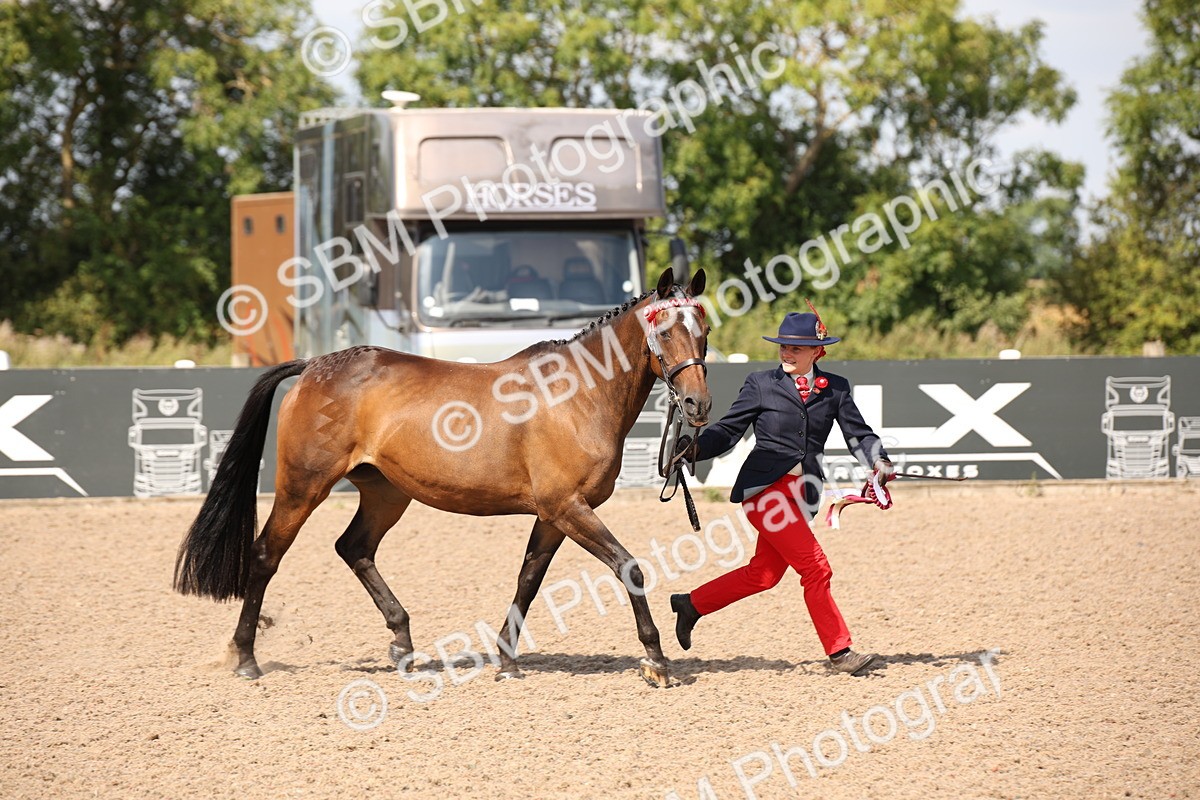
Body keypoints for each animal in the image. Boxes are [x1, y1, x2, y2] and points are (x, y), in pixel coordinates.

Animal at [173, 267, 711, 687]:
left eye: (703, 328)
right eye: (665, 331)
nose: (698, 405)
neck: (577, 394)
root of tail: (313, 367)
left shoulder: (553, 515)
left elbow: (528, 579)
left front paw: (507, 661)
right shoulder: (567, 507)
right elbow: (629, 567)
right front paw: (656, 660)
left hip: (386, 495)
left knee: (354, 548)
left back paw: (402, 644)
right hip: (302, 488)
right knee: (267, 555)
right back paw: (246, 658)